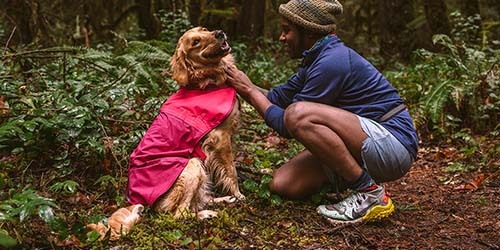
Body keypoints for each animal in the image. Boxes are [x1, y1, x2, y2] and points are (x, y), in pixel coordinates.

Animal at [90, 25, 246, 240]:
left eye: (204, 29)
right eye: (195, 42)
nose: (219, 33)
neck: (206, 80)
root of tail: (137, 199)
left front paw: (233, 195)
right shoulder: (220, 138)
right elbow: (231, 171)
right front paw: (239, 194)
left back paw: (222, 200)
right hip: (192, 165)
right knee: (179, 214)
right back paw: (207, 214)